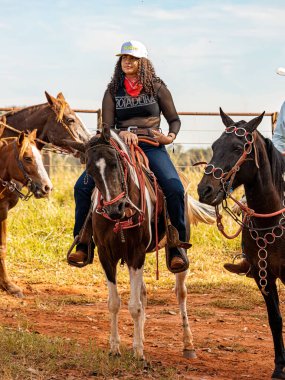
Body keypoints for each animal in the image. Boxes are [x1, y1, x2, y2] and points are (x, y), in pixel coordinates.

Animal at [67, 126, 195, 360]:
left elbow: (134, 306)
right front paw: (115, 347)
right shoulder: (106, 256)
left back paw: (188, 344)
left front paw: (138, 352)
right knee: (143, 293)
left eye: (115, 163)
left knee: (180, 293)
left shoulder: (136, 253)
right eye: (90, 171)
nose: (114, 209)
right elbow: (114, 303)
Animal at [196, 108, 284, 378]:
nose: (205, 189)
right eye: (214, 145)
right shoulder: (263, 276)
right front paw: (279, 367)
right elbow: (275, 319)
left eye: (237, 147)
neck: (272, 218)